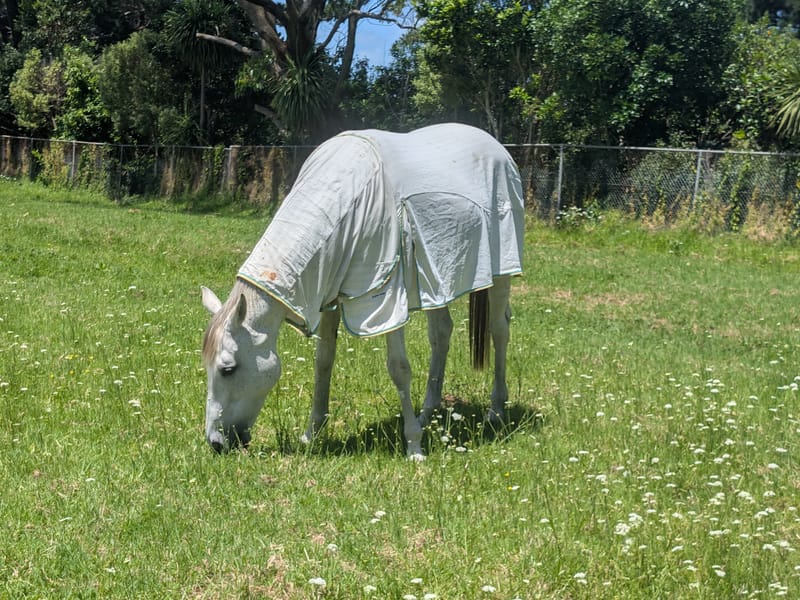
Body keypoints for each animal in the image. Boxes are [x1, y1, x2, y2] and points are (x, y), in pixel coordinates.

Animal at [200, 123, 525, 460]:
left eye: (227, 369)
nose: (216, 443)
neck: (343, 200)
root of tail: (495, 147)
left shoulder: (388, 299)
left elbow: (398, 368)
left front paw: (414, 447)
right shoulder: (329, 295)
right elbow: (323, 361)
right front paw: (311, 434)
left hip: (501, 269)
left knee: (499, 330)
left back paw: (496, 411)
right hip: (437, 282)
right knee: (441, 334)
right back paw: (428, 411)